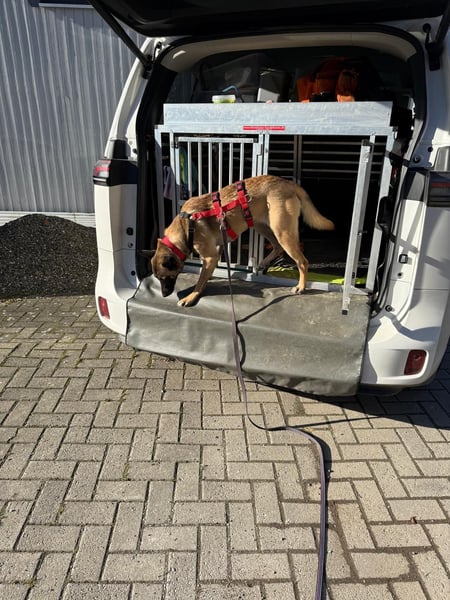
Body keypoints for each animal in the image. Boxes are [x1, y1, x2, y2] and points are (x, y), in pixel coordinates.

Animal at [151, 175, 334, 306]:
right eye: (158, 278)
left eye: (164, 277)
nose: (164, 295)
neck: (185, 226)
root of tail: (287, 182)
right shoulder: (216, 251)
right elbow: (206, 273)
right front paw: (207, 279)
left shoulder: (210, 256)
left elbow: (200, 281)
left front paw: (191, 296)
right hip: (262, 226)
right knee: (277, 247)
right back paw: (263, 263)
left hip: (282, 232)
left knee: (302, 261)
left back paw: (301, 286)